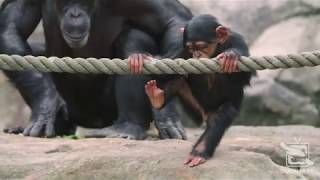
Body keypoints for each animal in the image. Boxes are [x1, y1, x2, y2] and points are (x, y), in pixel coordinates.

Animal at [0, 0, 192, 139]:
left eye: (83, 2)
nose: (75, 14)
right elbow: (11, 27)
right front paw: (46, 105)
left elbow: (173, 20)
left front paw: (165, 112)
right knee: (33, 51)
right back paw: (57, 126)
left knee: (134, 38)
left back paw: (128, 128)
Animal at [139, 14, 254, 167]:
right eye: (191, 48)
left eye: (202, 46)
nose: (197, 54)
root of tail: (205, 114)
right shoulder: (181, 48)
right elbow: (166, 68)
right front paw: (140, 58)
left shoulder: (238, 40)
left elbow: (245, 76)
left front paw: (230, 55)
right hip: (194, 107)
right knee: (179, 80)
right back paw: (157, 97)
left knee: (220, 117)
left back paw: (199, 153)